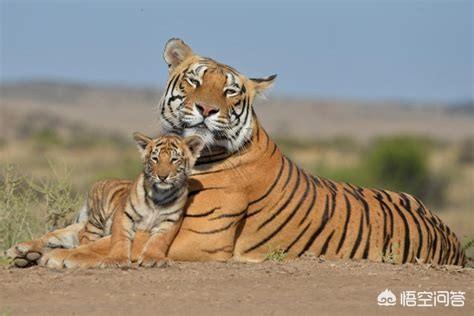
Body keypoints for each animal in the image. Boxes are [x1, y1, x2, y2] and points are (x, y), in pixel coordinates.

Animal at [8, 39, 466, 266]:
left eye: (229, 91)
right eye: (194, 80)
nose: (207, 109)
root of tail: (453, 240)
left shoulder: (197, 238)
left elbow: (117, 245)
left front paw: (63, 258)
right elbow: (76, 231)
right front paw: (28, 248)